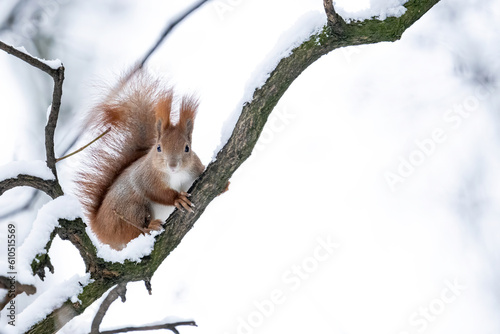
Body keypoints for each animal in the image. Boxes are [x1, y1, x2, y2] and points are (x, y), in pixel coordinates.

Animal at [75, 73, 204, 250]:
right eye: (158, 148)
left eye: (187, 148)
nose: (172, 165)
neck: (176, 175)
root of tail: (100, 229)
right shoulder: (146, 176)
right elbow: (155, 191)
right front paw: (177, 198)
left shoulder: (194, 170)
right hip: (131, 209)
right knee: (134, 231)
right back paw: (150, 226)